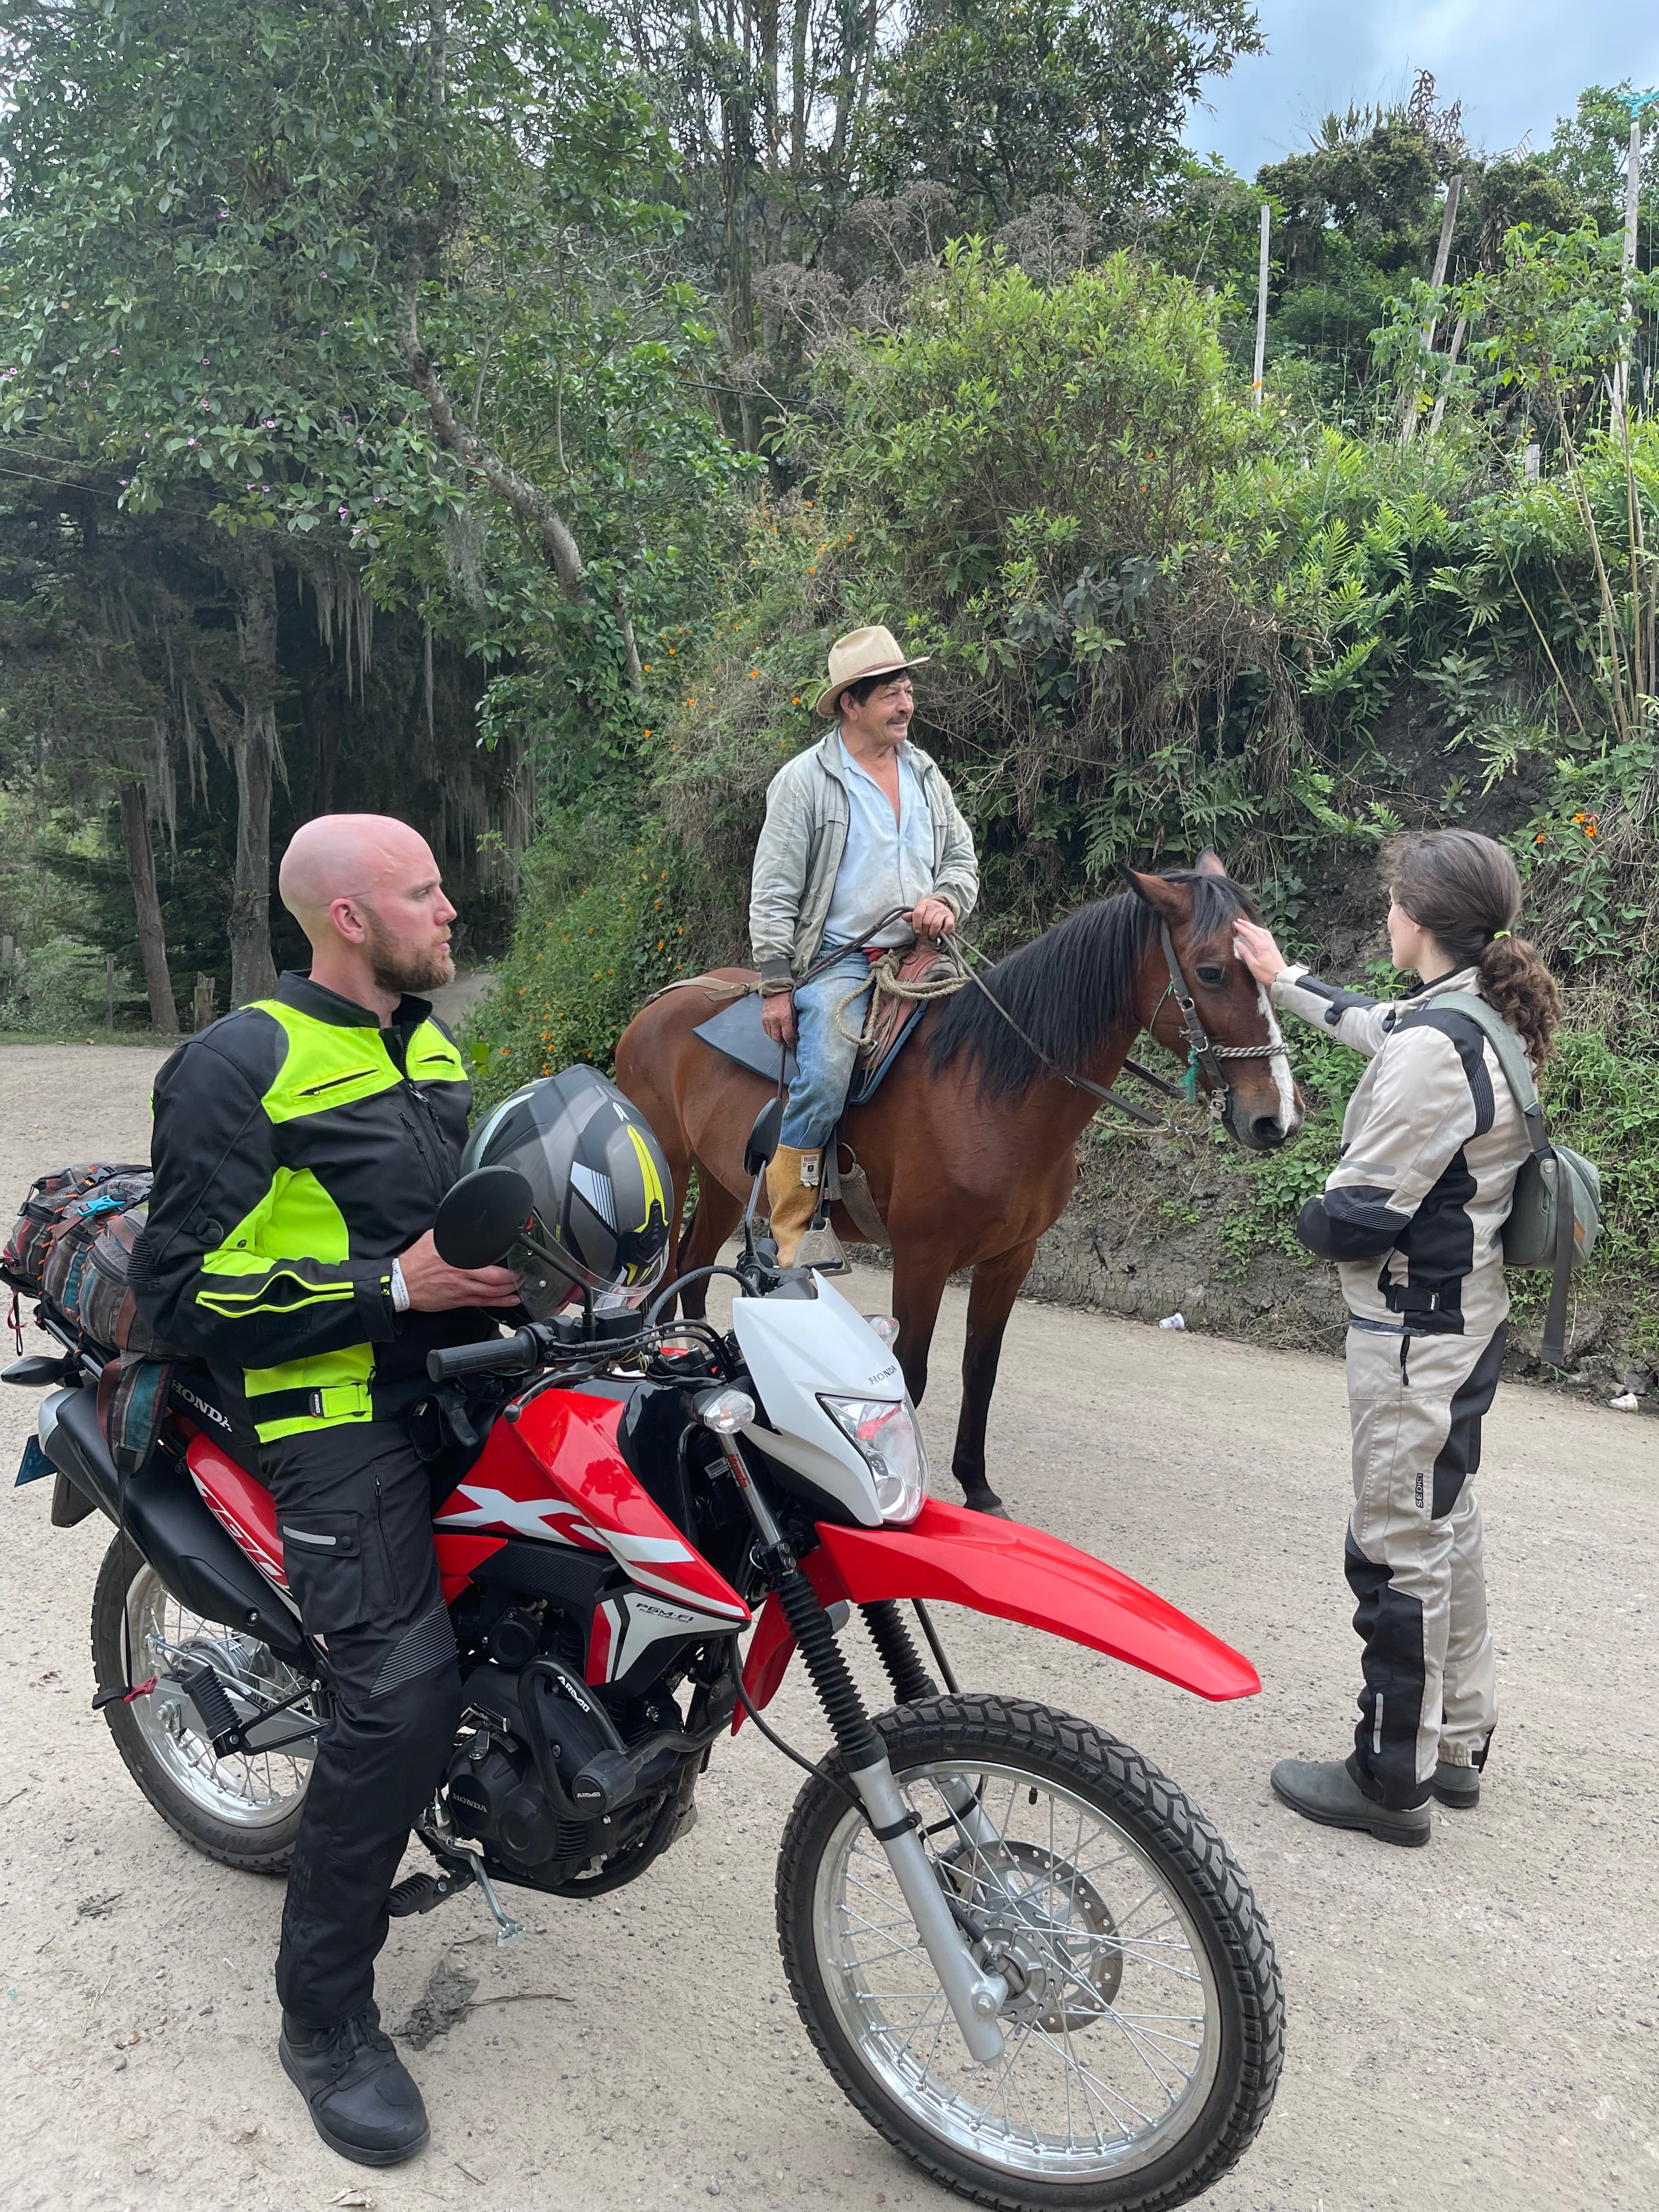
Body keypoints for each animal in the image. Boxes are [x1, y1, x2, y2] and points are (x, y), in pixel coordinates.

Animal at [619, 862, 1309, 1522]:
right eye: (1212, 972)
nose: (1277, 1118)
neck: (989, 1090)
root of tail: (667, 1000)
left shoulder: (1011, 1259)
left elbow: (982, 1370)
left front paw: (977, 1486)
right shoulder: (922, 1258)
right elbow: (910, 1374)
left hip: (724, 1183)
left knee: (694, 1273)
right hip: (671, 1171)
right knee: (660, 1279)